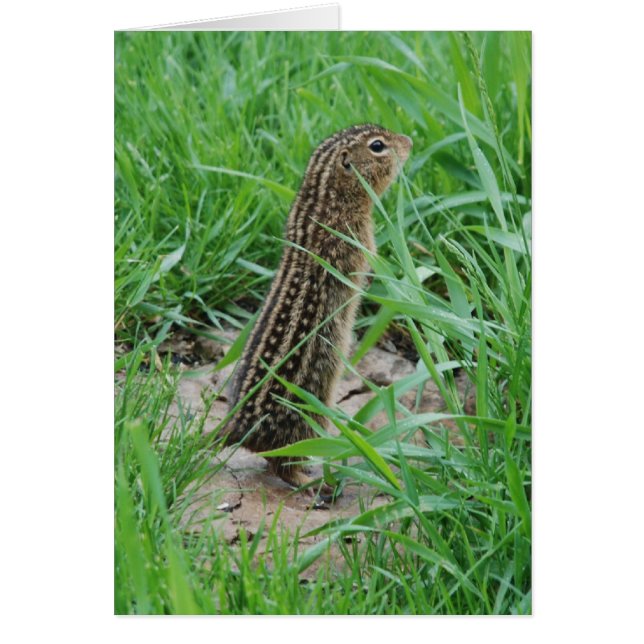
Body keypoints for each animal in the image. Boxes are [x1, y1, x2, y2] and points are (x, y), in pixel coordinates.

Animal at [227, 124, 412, 494]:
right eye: (378, 146)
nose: (410, 143)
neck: (325, 201)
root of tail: (239, 429)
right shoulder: (353, 243)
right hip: (305, 415)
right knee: (281, 463)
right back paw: (314, 482)